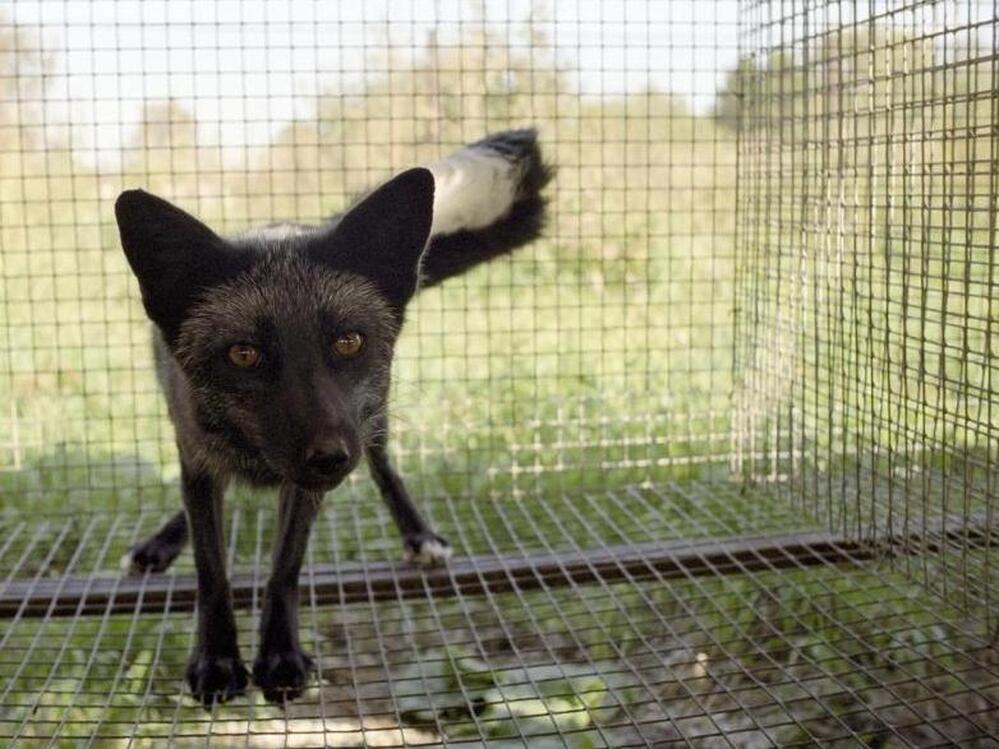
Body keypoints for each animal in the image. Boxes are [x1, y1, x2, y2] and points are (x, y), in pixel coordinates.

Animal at [114, 129, 551, 706]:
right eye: (244, 354)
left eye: (348, 342)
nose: (329, 458)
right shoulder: (198, 456)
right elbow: (212, 573)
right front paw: (216, 660)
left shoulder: (312, 480)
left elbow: (285, 568)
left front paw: (279, 656)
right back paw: (162, 543)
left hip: (372, 418)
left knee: (385, 468)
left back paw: (418, 534)